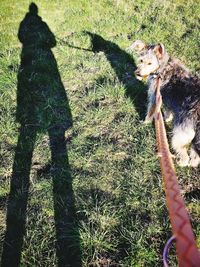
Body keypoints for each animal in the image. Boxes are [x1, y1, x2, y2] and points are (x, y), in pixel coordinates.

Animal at [130, 40, 200, 168]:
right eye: (141, 60)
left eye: (150, 63)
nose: (137, 73)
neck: (162, 67)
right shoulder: (165, 99)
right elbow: (168, 110)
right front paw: (167, 118)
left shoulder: (154, 96)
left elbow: (150, 112)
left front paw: (145, 122)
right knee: (195, 155)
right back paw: (193, 163)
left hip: (179, 135)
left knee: (184, 155)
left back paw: (181, 162)